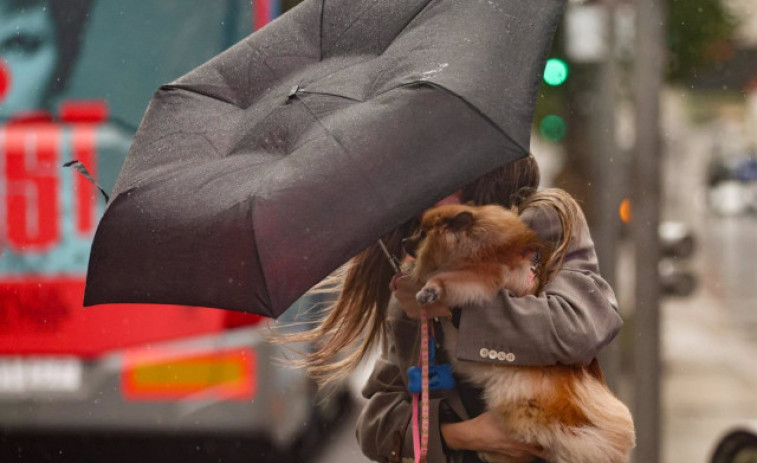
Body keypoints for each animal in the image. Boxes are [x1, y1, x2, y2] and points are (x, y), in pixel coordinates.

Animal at [404, 203, 636, 463]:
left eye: (423, 233)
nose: (403, 241)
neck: (477, 244)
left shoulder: (482, 275)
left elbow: (448, 280)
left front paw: (431, 288)